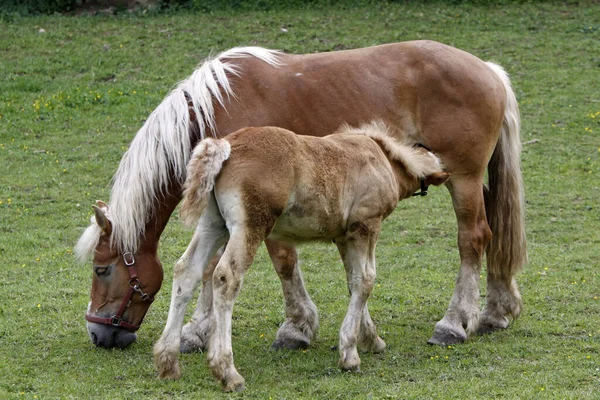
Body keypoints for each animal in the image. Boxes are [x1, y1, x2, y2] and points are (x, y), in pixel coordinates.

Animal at [75, 41, 524, 350]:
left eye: (102, 270)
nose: (97, 333)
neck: (213, 109)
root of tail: (489, 70)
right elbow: (209, 266)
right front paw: (198, 331)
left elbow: (280, 262)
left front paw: (295, 327)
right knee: (495, 232)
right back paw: (495, 311)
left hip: (463, 181)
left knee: (473, 240)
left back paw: (455, 322)